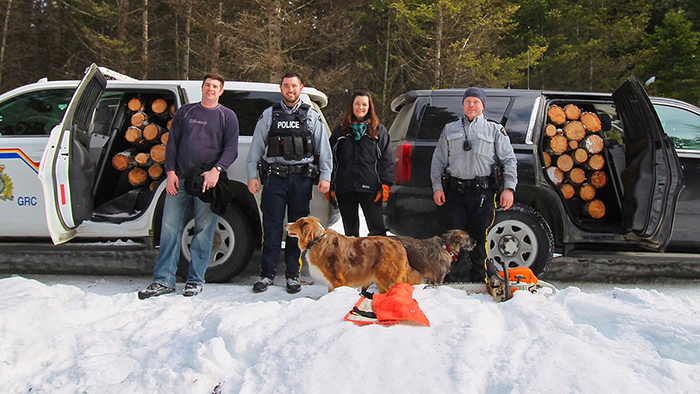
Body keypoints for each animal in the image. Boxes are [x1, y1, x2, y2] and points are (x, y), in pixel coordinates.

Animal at [284, 215, 422, 292]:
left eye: (296, 223)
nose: (286, 224)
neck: (317, 239)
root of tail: (399, 245)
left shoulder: (337, 280)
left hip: (387, 278)